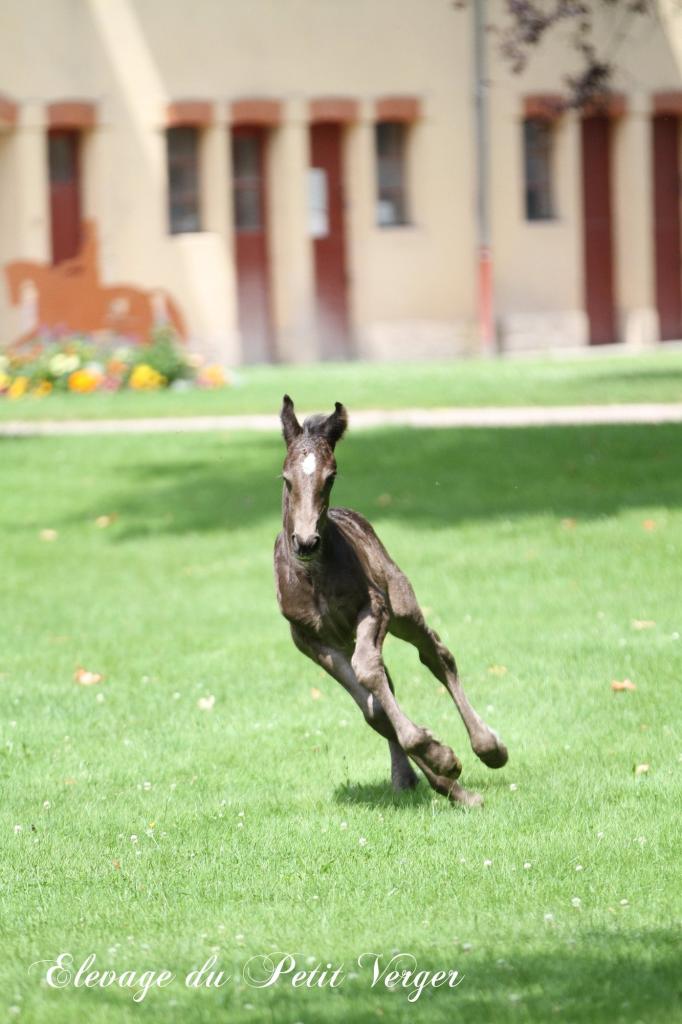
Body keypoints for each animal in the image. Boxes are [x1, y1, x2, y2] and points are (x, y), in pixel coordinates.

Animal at [270, 395, 503, 802]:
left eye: (331, 476)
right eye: (286, 478)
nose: (306, 541)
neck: (313, 576)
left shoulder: (374, 607)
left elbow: (369, 670)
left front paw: (443, 761)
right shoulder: (309, 639)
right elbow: (374, 707)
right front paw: (443, 766)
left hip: (403, 609)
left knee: (436, 655)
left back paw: (488, 749)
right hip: (344, 639)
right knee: (385, 685)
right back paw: (426, 781)